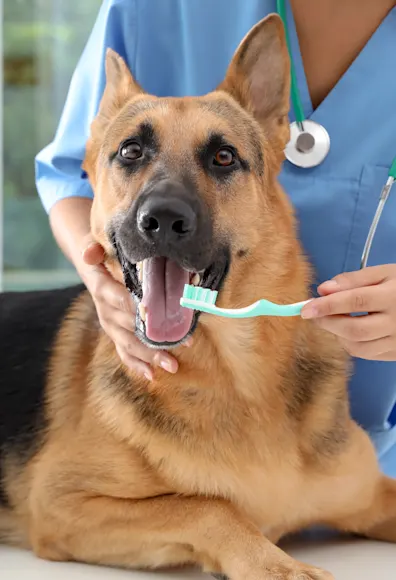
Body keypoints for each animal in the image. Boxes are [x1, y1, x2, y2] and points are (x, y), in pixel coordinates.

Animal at [0, 14, 396, 580]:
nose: (163, 220)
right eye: (131, 151)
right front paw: (275, 565)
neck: (240, 376)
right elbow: (208, 505)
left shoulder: (372, 492)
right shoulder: (62, 504)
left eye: (223, 157)